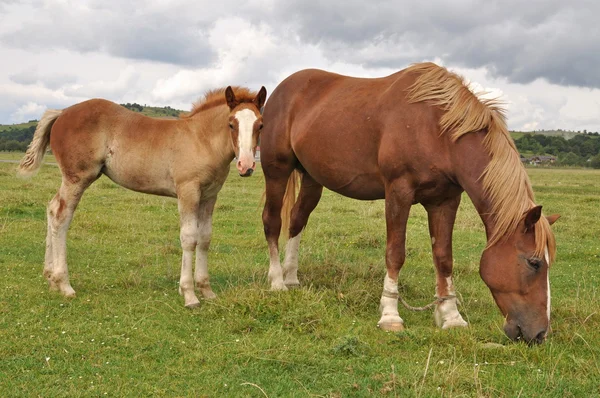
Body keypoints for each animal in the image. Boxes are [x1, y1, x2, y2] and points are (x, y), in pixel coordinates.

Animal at [17, 85, 266, 306]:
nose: (246, 165)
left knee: (52, 209)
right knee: (61, 216)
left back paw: (50, 278)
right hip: (77, 178)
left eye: (260, 125)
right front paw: (189, 294)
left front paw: (206, 290)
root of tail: (62, 112)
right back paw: (64, 284)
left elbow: (204, 239)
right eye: (231, 124)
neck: (201, 139)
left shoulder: (209, 196)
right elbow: (189, 238)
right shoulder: (188, 191)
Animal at [260, 63, 560, 344]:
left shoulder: (445, 201)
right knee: (272, 221)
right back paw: (277, 281)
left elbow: (443, 258)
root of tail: (281, 89)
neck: (437, 130)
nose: (540, 333)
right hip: (277, 171)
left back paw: (291, 277)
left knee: (297, 220)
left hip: (312, 179)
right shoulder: (398, 192)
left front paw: (451, 316)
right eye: (534, 263)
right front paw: (390, 314)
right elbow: (395, 253)